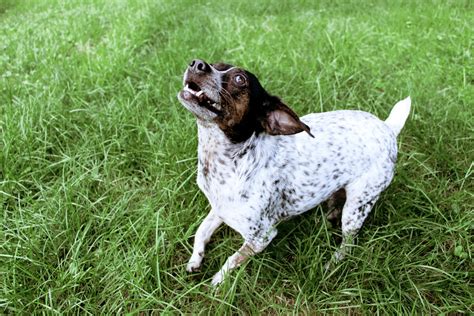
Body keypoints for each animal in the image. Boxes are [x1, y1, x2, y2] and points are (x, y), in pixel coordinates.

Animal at [176, 58, 410, 286]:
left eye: (239, 79)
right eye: (216, 64)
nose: (197, 63)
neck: (225, 162)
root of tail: (388, 128)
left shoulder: (261, 237)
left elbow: (231, 259)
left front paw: (218, 280)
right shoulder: (219, 208)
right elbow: (201, 231)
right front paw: (195, 259)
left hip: (358, 207)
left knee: (349, 243)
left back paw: (333, 262)